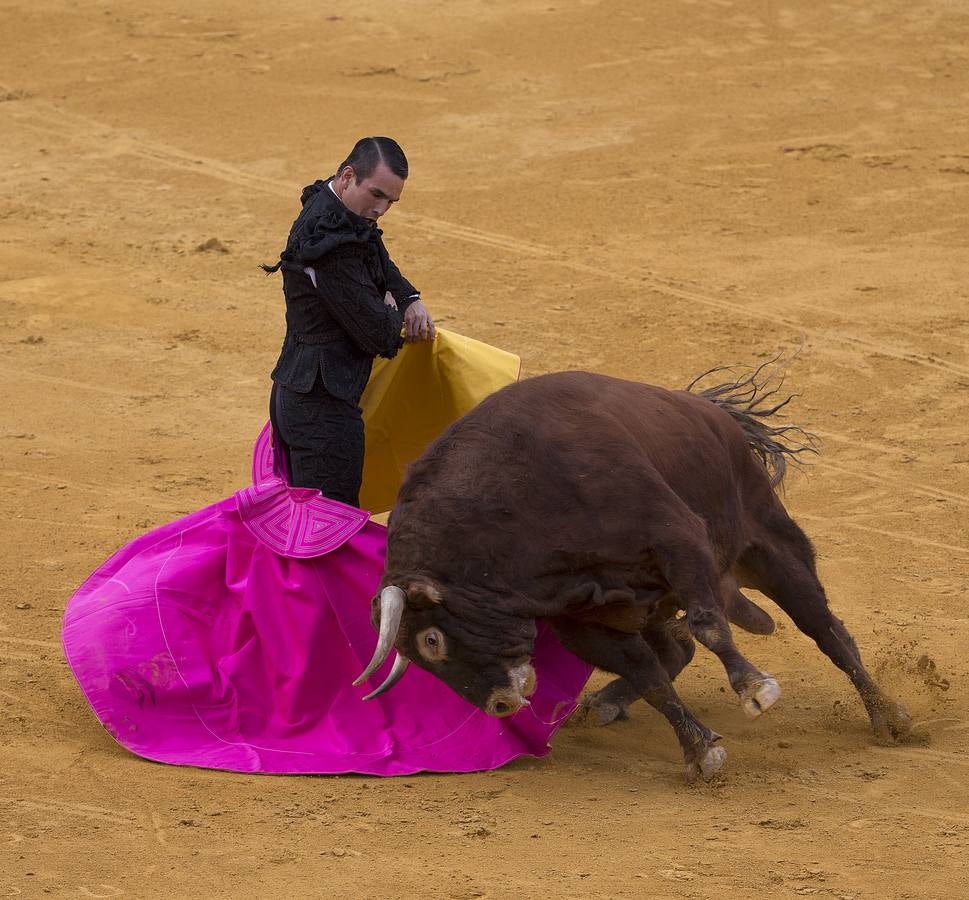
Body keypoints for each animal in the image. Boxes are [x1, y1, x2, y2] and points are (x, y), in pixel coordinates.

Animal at [352, 370, 912, 776]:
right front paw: (700, 751)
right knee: (675, 652)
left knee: (826, 630)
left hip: (770, 546)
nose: (502, 704)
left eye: (430, 641)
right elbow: (651, 676)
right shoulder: (582, 623)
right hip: (659, 603)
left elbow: (709, 626)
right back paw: (605, 703)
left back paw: (891, 718)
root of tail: (713, 412)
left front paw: (755, 688)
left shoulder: (678, 539)